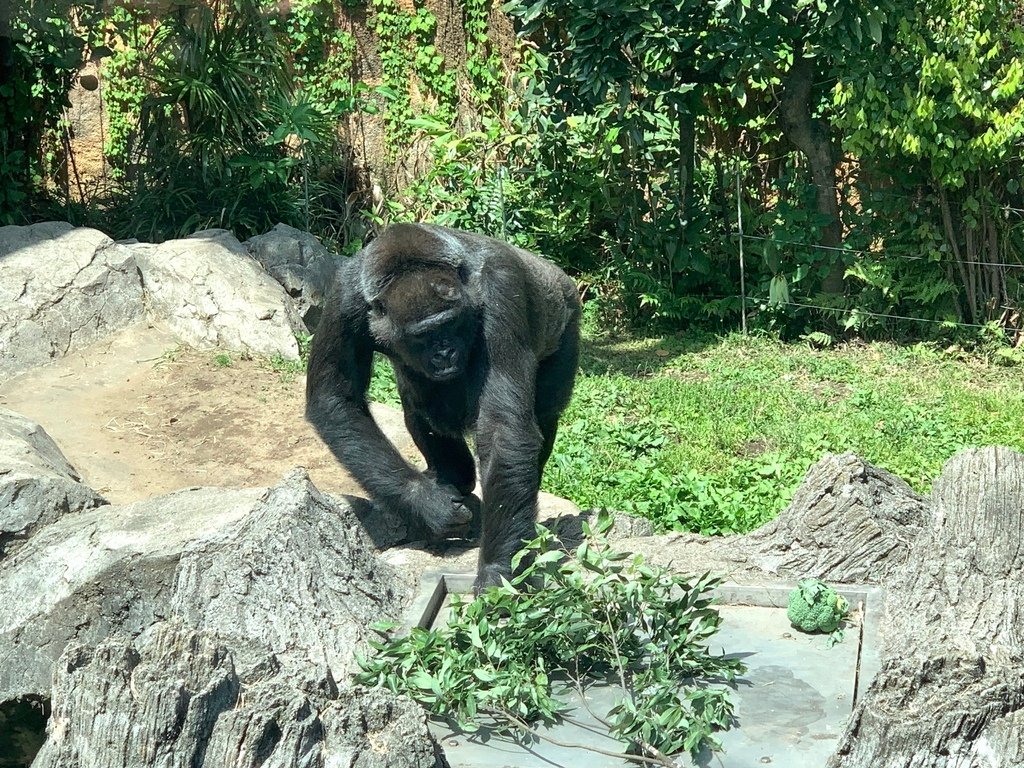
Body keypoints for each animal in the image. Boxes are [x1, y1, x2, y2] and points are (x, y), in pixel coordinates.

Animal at [303, 222, 581, 593]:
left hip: (566, 316)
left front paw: (497, 570)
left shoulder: (501, 286)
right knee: (420, 402)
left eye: (451, 324)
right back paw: (451, 477)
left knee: (545, 412)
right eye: (423, 336)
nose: (445, 354)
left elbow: (503, 428)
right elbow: (335, 397)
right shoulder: (343, 297)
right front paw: (426, 504)